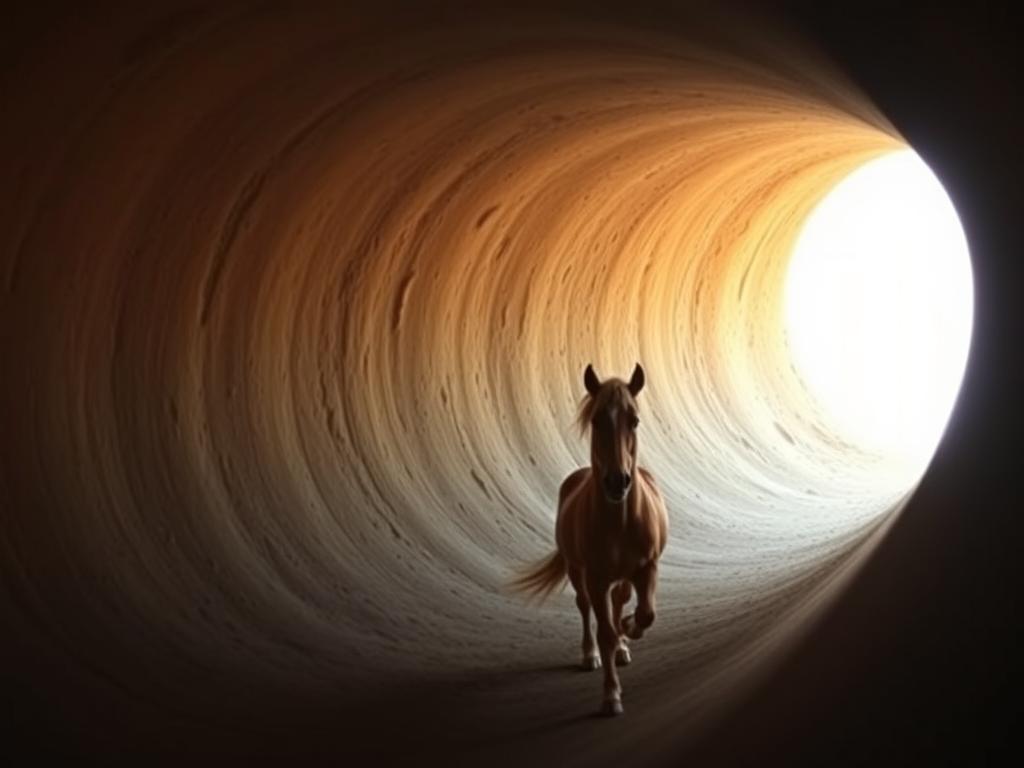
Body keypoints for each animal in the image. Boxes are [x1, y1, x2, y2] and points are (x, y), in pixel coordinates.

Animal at [512, 364, 671, 720]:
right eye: (597, 420)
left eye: (634, 420)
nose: (617, 482)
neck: (619, 522)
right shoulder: (596, 578)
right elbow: (605, 632)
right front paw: (611, 695)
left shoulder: (648, 568)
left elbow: (645, 615)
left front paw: (629, 629)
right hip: (577, 570)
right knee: (585, 607)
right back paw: (590, 655)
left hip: (622, 577)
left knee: (620, 601)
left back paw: (624, 643)